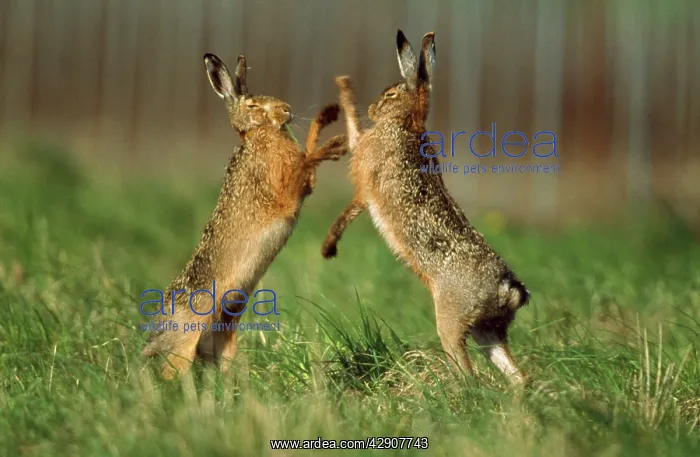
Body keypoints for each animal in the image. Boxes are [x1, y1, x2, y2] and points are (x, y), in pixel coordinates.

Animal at [142, 52, 347, 380]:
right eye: (252, 105)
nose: (287, 109)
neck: (257, 135)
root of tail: (157, 331)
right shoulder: (283, 192)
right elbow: (306, 160)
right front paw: (334, 142)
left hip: (225, 334)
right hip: (190, 331)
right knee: (172, 368)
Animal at [321, 30, 531, 386]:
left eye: (391, 93)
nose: (373, 108)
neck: (407, 122)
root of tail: (507, 288)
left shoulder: (365, 175)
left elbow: (353, 168)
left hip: (451, 320)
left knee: (467, 371)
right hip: (487, 330)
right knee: (517, 376)